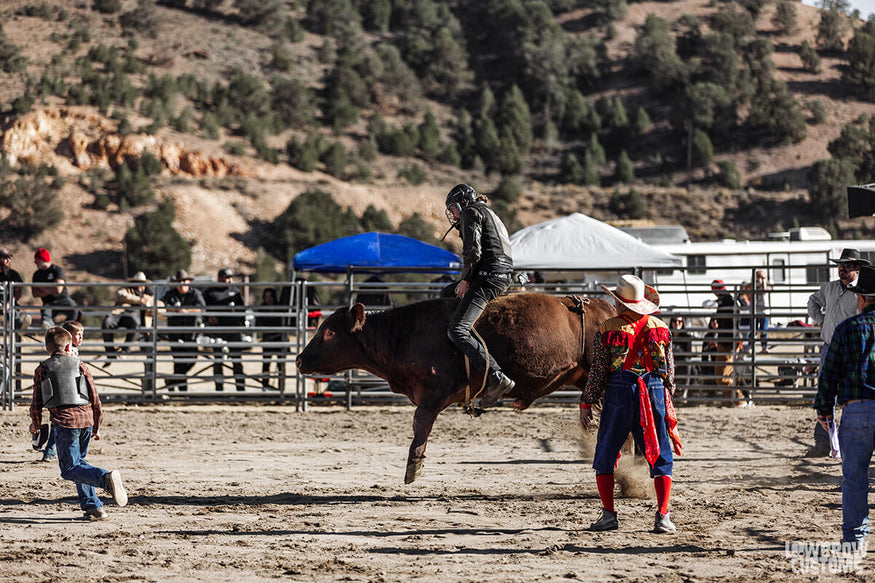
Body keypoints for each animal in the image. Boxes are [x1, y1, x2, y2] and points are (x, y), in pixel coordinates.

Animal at [298, 294, 612, 486]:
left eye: (329, 332)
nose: (300, 360)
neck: (403, 334)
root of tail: (603, 306)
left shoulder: (435, 391)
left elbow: (420, 423)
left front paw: (414, 466)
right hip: (585, 377)